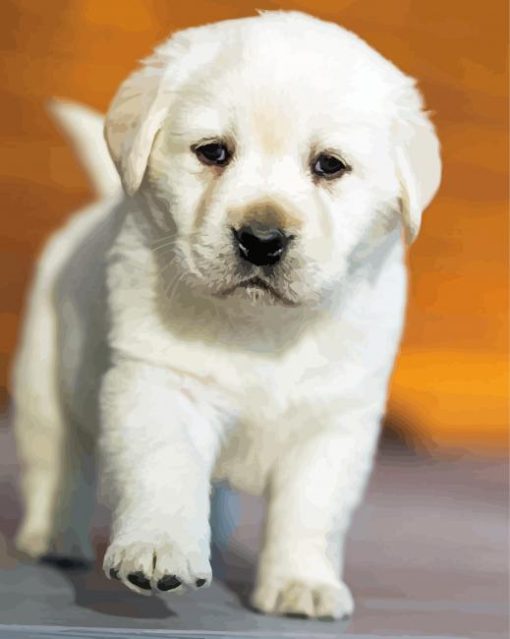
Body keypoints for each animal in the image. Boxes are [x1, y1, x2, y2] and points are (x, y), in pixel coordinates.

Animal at [13, 8, 440, 620]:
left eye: (329, 165)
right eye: (213, 152)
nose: (261, 240)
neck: (261, 328)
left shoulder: (335, 418)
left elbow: (313, 509)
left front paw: (302, 583)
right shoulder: (161, 383)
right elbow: (167, 470)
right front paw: (158, 551)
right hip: (43, 379)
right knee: (56, 462)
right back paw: (51, 537)